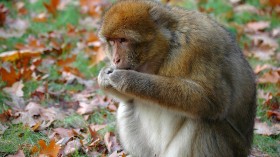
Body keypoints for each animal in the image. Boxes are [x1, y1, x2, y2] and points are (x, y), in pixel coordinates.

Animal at [97, 0, 258, 156]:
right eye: (112, 41)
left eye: (123, 40)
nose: (116, 59)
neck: (169, 45)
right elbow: (130, 97)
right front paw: (104, 76)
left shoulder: (198, 47)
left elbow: (213, 100)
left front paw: (127, 79)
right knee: (128, 105)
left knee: (203, 121)